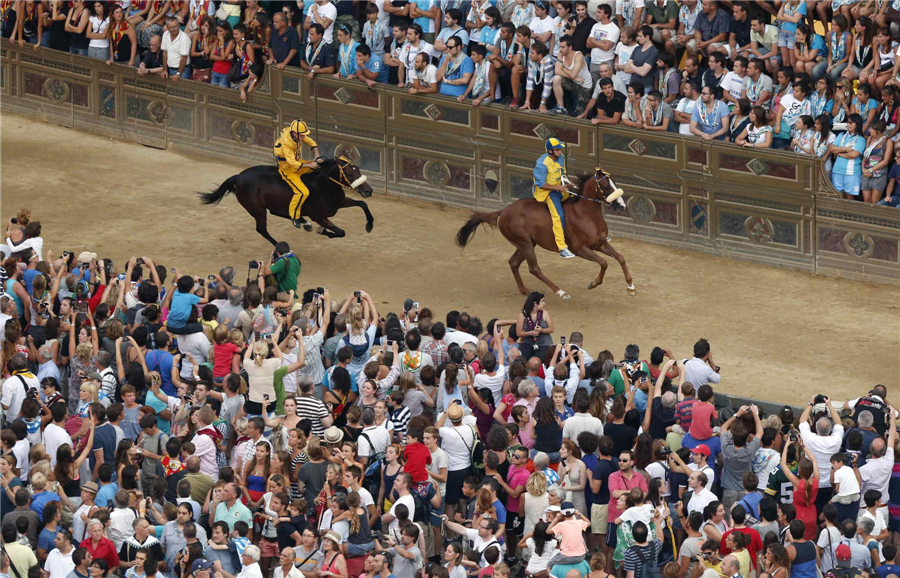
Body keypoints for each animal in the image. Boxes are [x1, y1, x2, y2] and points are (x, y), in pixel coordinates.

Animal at [458, 164, 632, 300]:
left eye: (615, 183)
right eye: (605, 185)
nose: (622, 206)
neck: (585, 214)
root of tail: (504, 211)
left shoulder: (600, 244)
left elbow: (620, 258)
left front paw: (631, 287)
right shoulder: (580, 249)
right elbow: (604, 262)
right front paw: (593, 283)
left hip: (527, 243)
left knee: (513, 262)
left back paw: (525, 290)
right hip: (525, 243)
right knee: (534, 268)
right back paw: (561, 292)